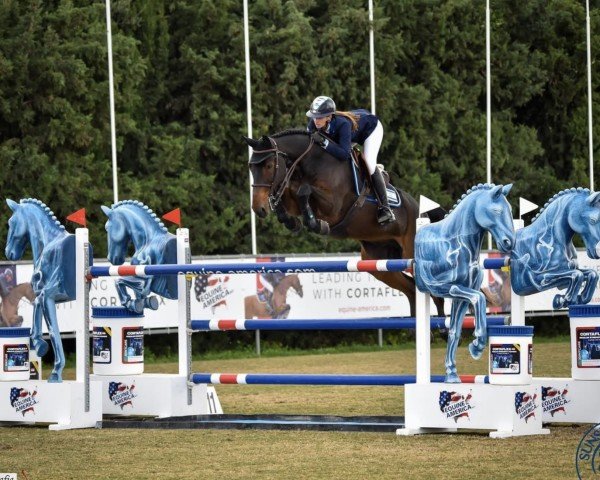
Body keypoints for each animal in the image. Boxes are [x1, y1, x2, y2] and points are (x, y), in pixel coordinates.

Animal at [244, 130, 446, 318]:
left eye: (269, 166)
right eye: (251, 168)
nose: (258, 208)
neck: (312, 161)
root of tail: (421, 210)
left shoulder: (333, 206)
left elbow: (304, 190)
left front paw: (317, 224)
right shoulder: (293, 195)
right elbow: (288, 195)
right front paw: (291, 221)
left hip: (411, 253)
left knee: (435, 294)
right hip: (380, 263)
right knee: (411, 290)